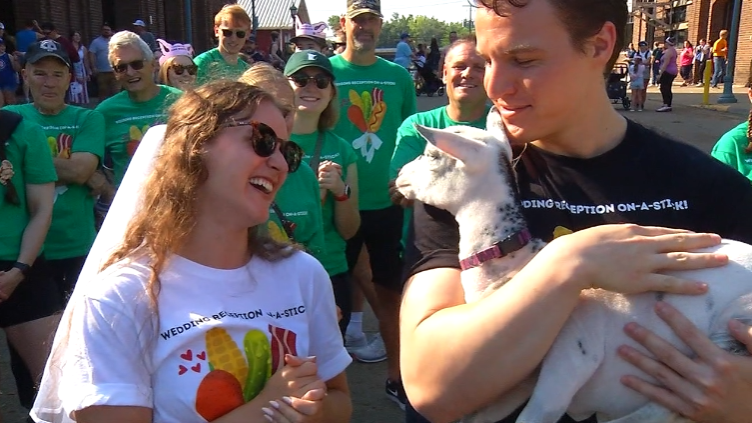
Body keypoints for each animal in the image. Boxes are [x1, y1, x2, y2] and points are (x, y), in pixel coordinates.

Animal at [394, 120, 752, 423]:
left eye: (431, 154)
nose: (399, 175)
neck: (515, 267)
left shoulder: (569, 359)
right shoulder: (520, 378)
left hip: (735, 322)